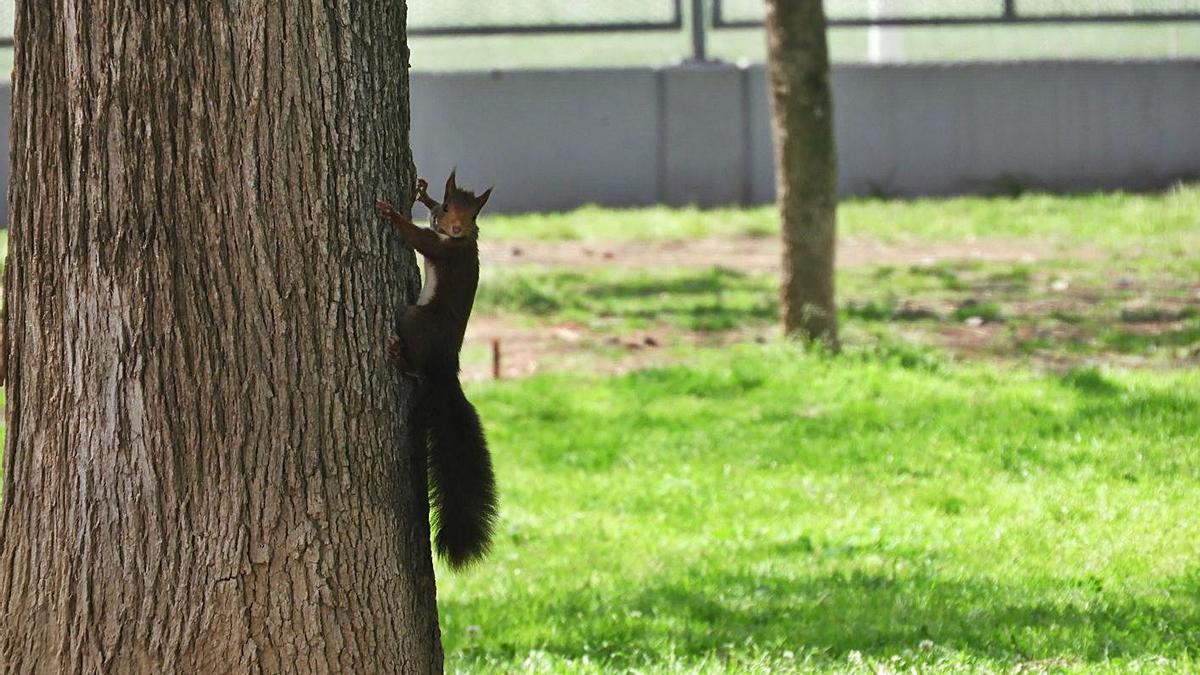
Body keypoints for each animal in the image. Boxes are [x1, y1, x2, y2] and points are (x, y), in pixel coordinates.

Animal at [369, 169, 492, 566]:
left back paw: (399, 357)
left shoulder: (443, 249)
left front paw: (392, 214)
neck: (458, 240)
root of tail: (445, 368)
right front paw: (423, 194)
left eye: (473, 215)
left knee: (417, 370)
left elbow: (418, 238)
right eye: (450, 206)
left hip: (414, 320)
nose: (455, 228)